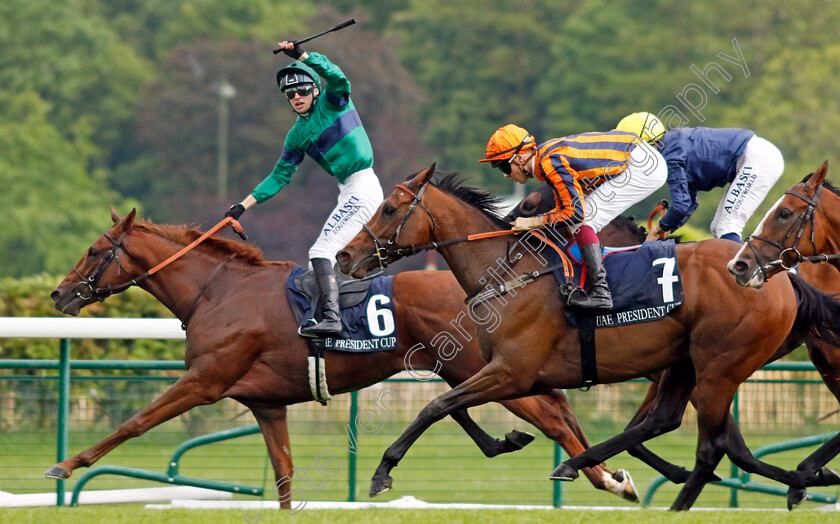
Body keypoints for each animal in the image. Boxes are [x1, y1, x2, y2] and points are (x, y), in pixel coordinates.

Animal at [46, 208, 636, 508]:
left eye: (95, 251)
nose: (58, 294)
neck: (216, 290)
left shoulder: (204, 379)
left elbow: (136, 422)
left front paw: (67, 465)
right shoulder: (266, 403)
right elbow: (284, 476)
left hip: (491, 369)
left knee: (551, 415)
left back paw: (605, 477)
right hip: (471, 368)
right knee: (527, 410)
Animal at [334, 166, 840, 510]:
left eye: (390, 209)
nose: (344, 256)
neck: (511, 273)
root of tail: (778, 276)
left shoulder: (511, 372)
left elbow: (435, 406)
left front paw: (382, 472)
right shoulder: (513, 375)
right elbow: (457, 408)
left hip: (718, 368)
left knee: (710, 446)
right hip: (690, 364)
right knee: (675, 427)